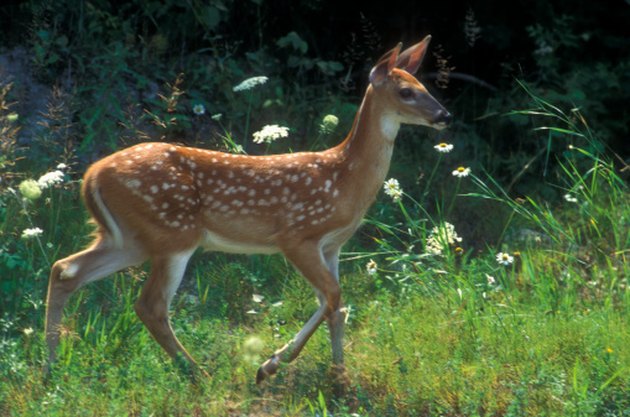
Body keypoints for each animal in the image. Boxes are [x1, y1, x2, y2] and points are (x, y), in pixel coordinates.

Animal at [45, 35, 450, 390]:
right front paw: (270, 366)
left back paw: (51, 365)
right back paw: (198, 373)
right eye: (406, 92)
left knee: (65, 269)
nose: (444, 114)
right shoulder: (296, 235)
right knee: (150, 306)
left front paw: (340, 378)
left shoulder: (333, 246)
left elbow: (336, 306)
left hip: (129, 239)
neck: (344, 177)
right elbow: (333, 297)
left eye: (424, 85)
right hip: (173, 233)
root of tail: (92, 176)